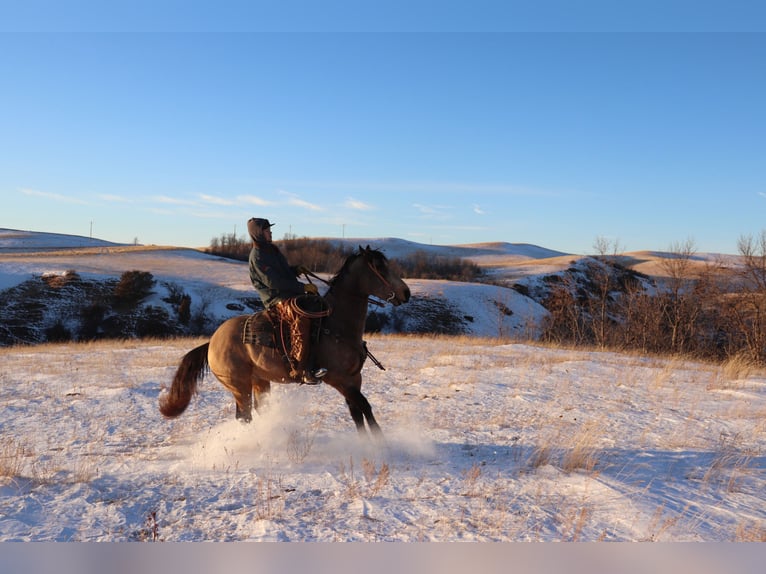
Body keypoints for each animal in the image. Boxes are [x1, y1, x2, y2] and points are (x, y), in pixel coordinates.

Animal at [158, 245, 412, 438]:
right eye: (379, 266)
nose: (406, 293)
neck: (337, 323)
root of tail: (212, 342)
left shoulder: (353, 378)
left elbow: (357, 412)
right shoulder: (338, 379)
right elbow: (364, 407)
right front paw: (380, 444)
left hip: (259, 381)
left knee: (257, 411)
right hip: (239, 385)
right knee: (244, 416)